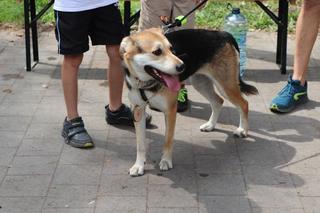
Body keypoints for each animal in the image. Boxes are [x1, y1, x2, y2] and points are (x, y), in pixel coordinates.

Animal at [119, 27, 258, 176]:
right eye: (157, 52)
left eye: (171, 49)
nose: (182, 66)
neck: (145, 83)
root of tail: (223, 34)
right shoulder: (138, 111)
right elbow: (140, 144)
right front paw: (138, 165)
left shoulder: (170, 111)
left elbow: (168, 140)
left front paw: (166, 161)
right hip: (201, 83)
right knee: (218, 101)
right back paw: (210, 125)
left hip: (226, 86)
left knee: (243, 104)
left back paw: (242, 130)